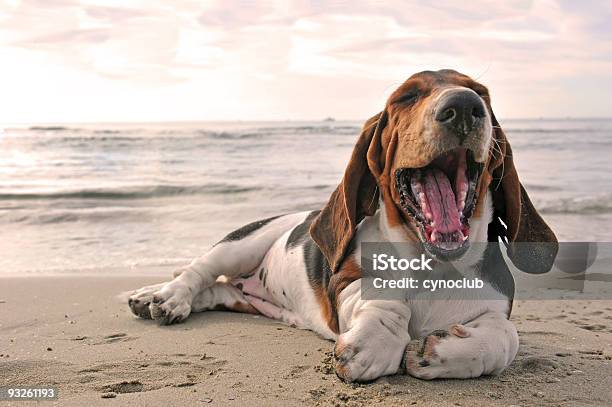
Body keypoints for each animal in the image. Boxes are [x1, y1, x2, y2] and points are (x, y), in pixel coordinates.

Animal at [126, 69, 556, 382]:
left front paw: (437, 352)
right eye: (406, 97)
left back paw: (153, 297)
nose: (464, 105)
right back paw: (163, 298)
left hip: (242, 296)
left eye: (481, 93)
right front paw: (373, 344)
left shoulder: (497, 307)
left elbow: (506, 336)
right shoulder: (345, 283)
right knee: (196, 272)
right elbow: (384, 300)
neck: (432, 263)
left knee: (214, 292)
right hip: (242, 243)